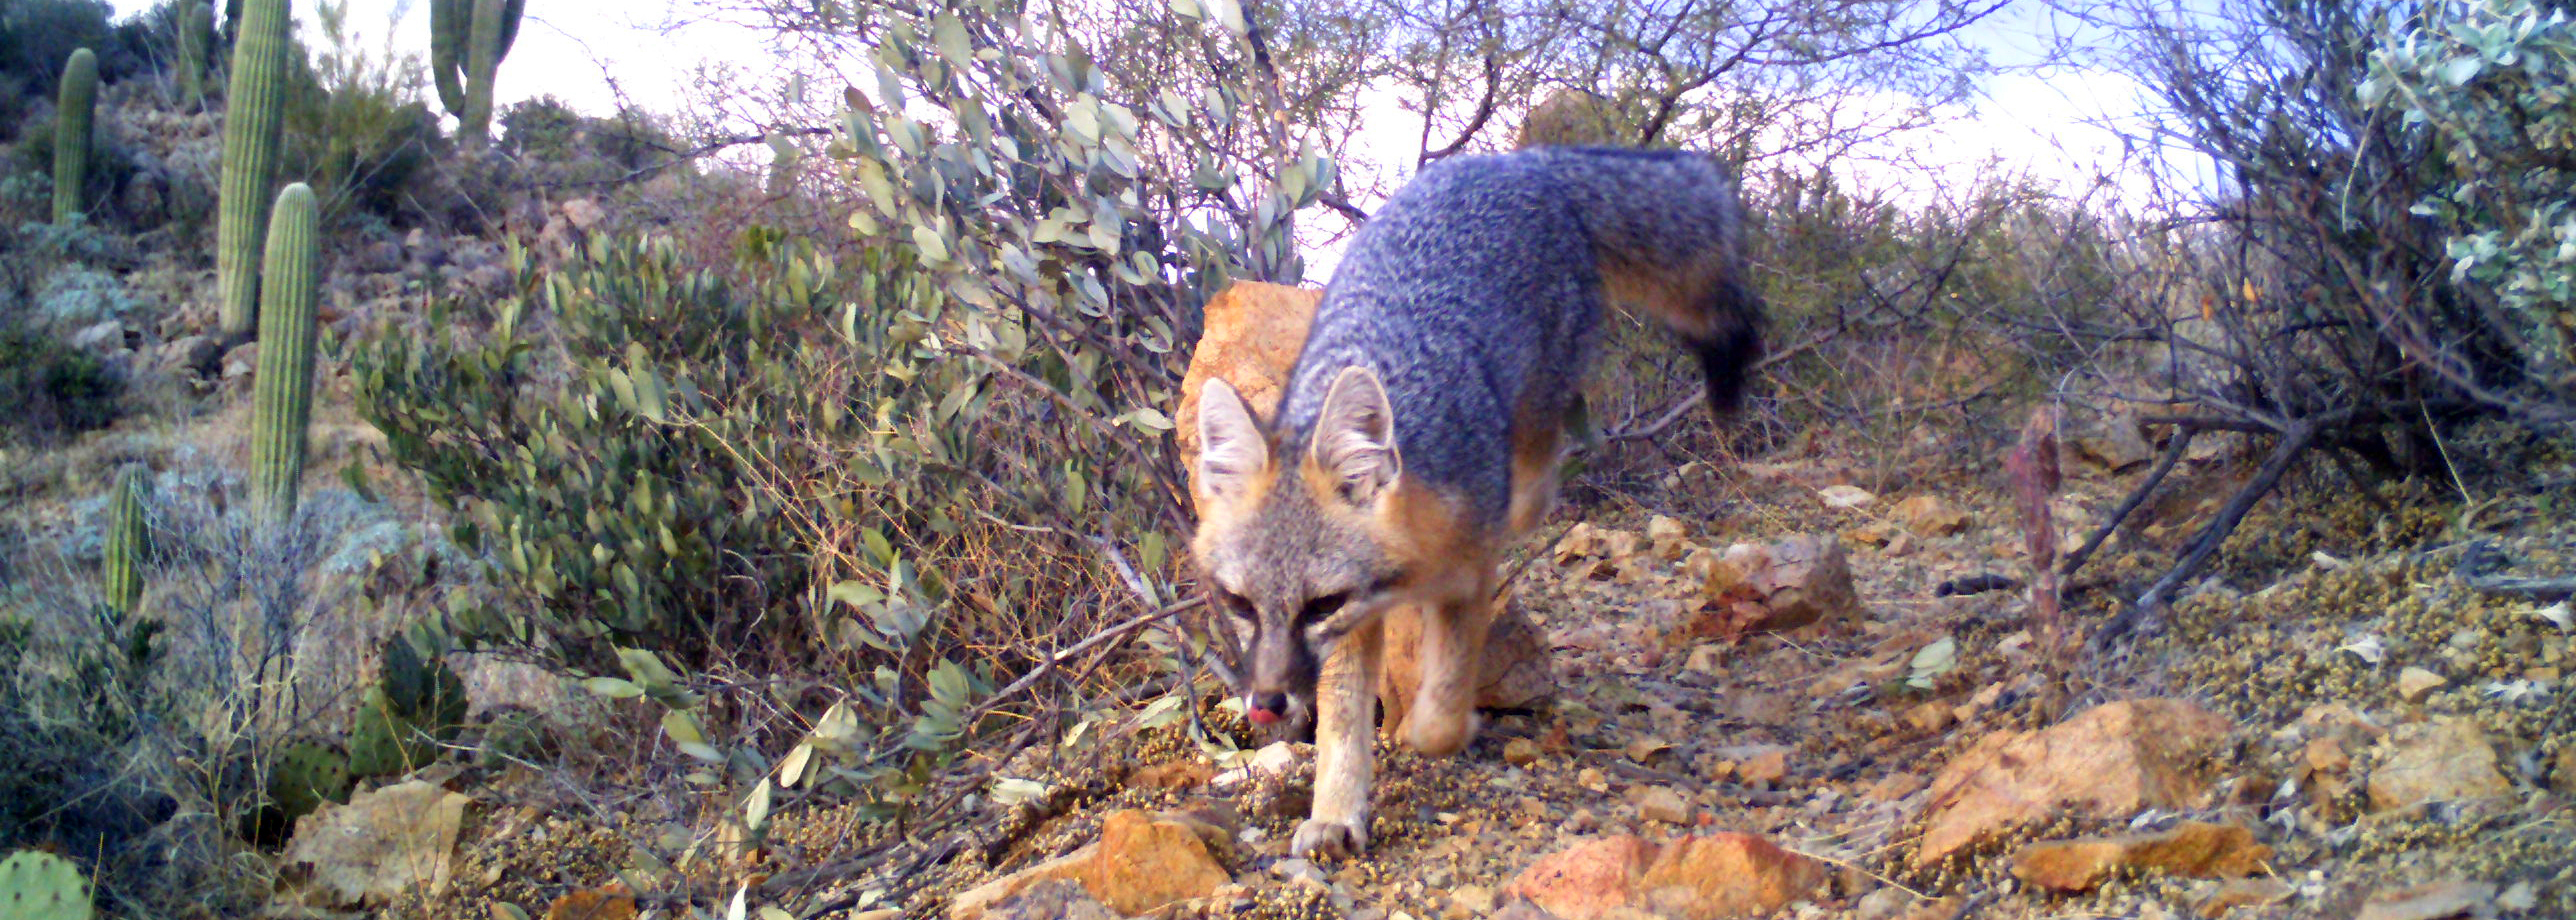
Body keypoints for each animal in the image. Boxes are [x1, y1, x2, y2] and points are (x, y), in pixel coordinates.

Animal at [1190, 146, 1761, 855]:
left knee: (1541, 470)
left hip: (1541, 405)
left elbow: (1442, 703)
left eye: (1320, 604)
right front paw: (1334, 811)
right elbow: (1343, 726)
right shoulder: (1355, 628)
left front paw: (1439, 731)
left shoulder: (1458, 583)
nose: (1266, 703)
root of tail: (1522, 162)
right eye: (1239, 603)